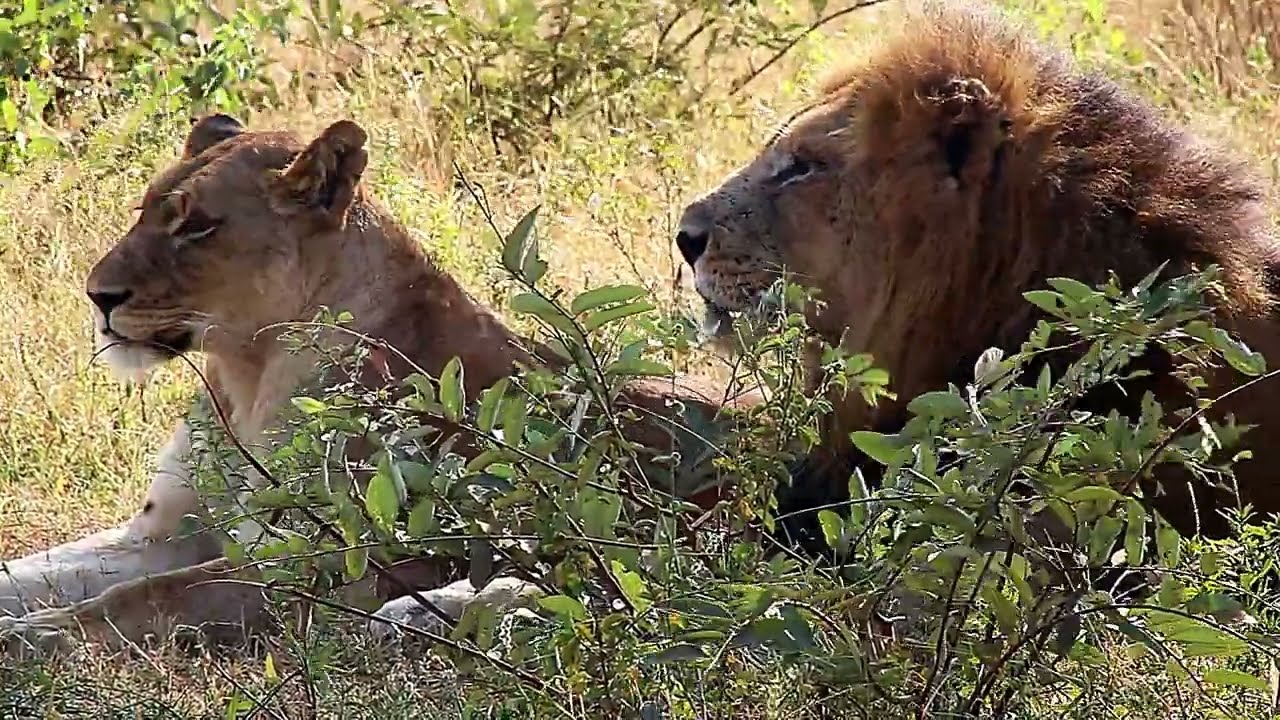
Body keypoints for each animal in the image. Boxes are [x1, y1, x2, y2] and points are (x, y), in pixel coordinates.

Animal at [0, 114, 756, 652]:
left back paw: (430, 614)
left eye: (199, 226)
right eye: (145, 209)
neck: (244, 370)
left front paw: (29, 641)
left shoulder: (317, 559)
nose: (97, 296)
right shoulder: (163, 534)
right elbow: (33, 572)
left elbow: (134, 602)